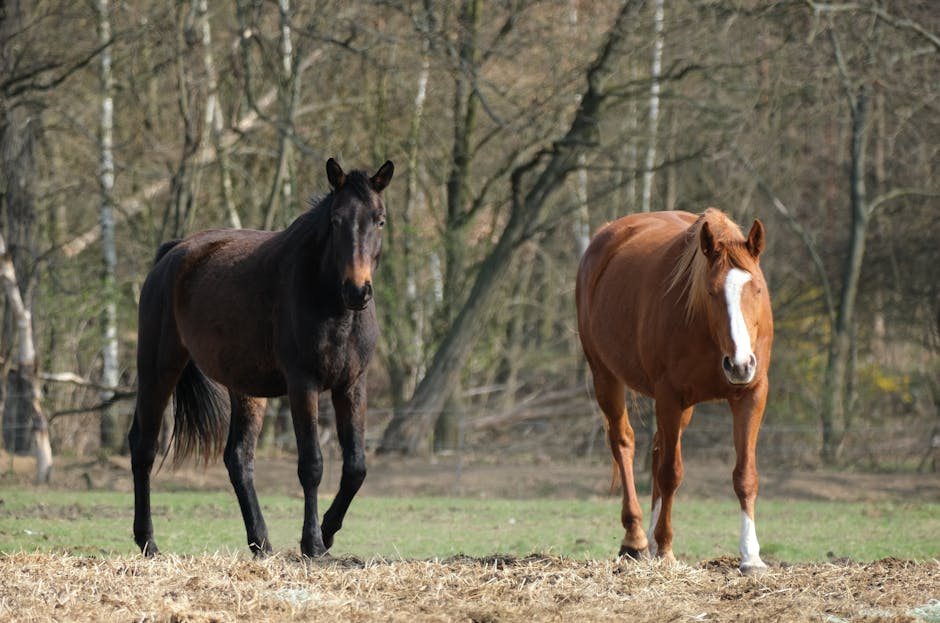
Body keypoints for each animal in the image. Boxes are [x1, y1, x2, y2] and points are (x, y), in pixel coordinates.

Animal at [129, 158, 394, 558]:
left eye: (379, 219)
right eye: (336, 220)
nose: (357, 290)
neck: (331, 303)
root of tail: (174, 254)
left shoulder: (352, 385)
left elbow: (355, 468)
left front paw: (328, 533)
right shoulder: (303, 385)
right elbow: (312, 465)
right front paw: (313, 542)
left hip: (246, 388)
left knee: (239, 459)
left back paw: (261, 542)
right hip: (158, 369)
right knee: (143, 447)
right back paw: (148, 541)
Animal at [576, 208, 773, 575]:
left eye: (755, 288)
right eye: (711, 292)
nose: (739, 364)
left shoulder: (751, 394)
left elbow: (745, 476)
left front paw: (751, 556)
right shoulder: (669, 396)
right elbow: (670, 473)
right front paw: (665, 548)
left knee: (656, 450)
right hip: (605, 376)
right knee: (624, 443)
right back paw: (638, 538)